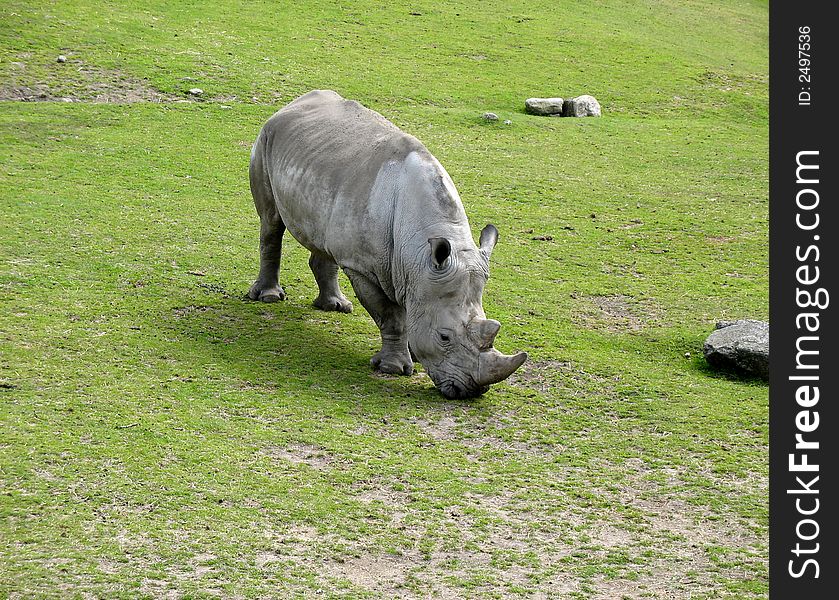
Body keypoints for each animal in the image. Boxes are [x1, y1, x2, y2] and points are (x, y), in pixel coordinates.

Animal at [246, 89, 528, 398]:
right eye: (444, 337)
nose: (471, 392)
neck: (419, 252)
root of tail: (293, 103)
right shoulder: (363, 267)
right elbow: (390, 315)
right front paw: (394, 368)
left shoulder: (415, 272)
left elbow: (409, 312)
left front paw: (413, 354)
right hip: (266, 138)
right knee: (271, 222)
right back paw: (269, 297)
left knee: (325, 239)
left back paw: (336, 306)